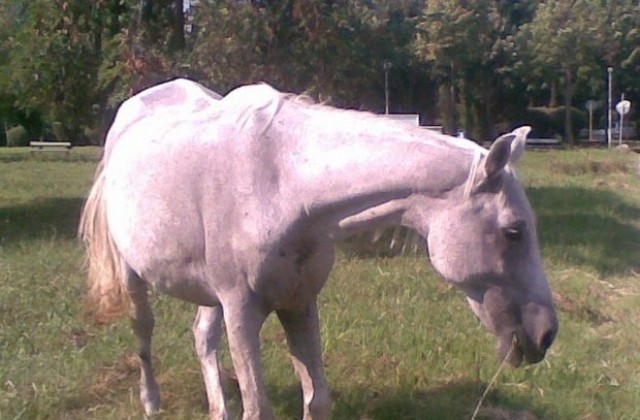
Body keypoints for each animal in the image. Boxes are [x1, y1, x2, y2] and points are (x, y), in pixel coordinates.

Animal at [80, 78, 556, 416]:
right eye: (514, 231)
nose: (545, 334)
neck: (282, 185)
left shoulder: (298, 304)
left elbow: (317, 399)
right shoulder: (242, 310)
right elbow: (259, 408)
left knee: (202, 338)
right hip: (136, 276)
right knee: (144, 332)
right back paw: (151, 402)